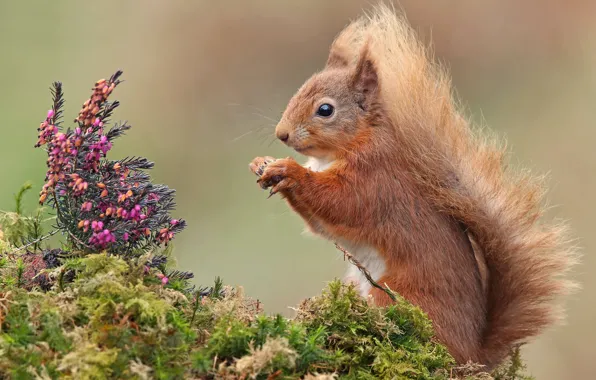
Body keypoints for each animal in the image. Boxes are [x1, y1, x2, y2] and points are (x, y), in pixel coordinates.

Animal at [248, 4, 576, 370]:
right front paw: (262, 163)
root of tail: (472, 354)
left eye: (325, 110)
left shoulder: (375, 180)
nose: (282, 134)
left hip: (393, 294)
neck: (345, 148)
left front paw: (289, 171)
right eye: (300, 89)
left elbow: (339, 202)